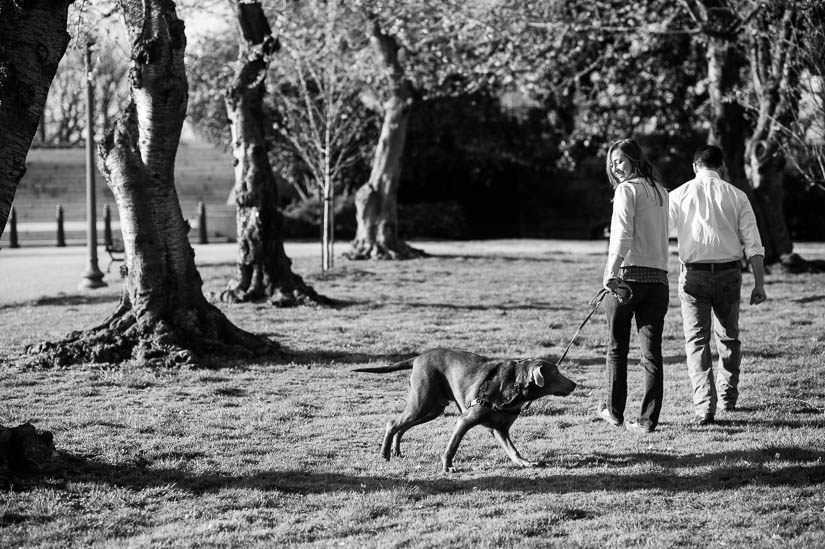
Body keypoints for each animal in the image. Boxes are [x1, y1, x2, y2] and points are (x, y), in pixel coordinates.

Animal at [352, 346, 572, 470]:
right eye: (557, 373)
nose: (575, 384)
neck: (514, 385)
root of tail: (418, 357)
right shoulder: (465, 420)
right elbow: (452, 447)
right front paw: (447, 467)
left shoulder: (500, 430)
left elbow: (513, 450)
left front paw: (525, 463)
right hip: (421, 403)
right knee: (393, 423)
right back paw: (385, 453)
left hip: (432, 409)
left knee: (401, 426)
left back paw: (396, 450)